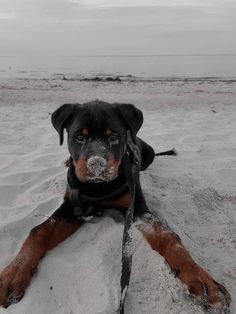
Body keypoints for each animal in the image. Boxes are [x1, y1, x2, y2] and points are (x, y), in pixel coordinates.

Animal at [0, 100, 230, 312]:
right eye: (79, 137)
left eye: (114, 137)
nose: (97, 164)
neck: (98, 188)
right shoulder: (72, 207)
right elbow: (38, 230)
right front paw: (13, 273)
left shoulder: (137, 208)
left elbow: (168, 237)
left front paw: (200, 278)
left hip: (149, 153)